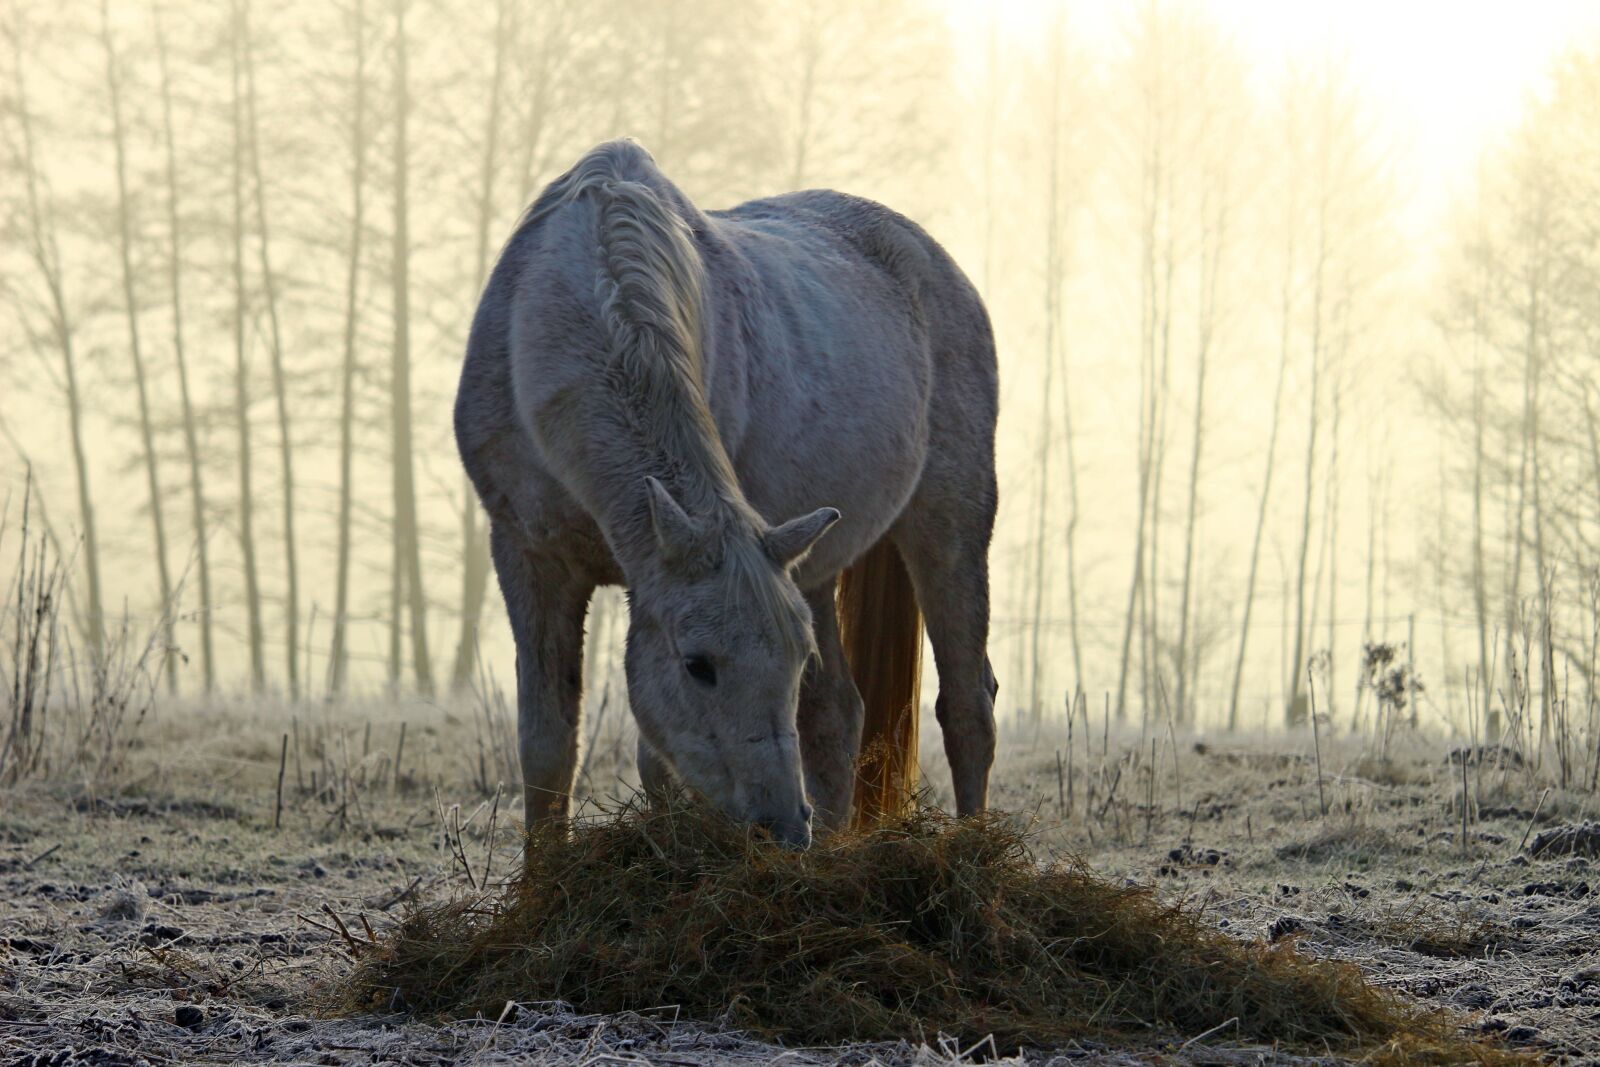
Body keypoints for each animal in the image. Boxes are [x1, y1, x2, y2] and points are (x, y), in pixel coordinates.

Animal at [455, 140, 997, 848]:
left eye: (792, 659)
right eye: (698, 665)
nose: (783, 827)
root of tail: (934, 259)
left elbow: (656, 764)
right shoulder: (530, 558)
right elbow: (546, 750)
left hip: (952, 524)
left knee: (967, 706)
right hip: (812, 562)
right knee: (837, 715)